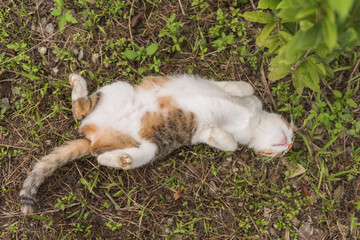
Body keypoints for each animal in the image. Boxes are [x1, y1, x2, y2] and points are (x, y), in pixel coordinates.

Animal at [19, 73, 294, 214]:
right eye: (291, 131)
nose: (290, 145)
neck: (252, 120)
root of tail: (93, 138)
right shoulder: (228, 92)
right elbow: (243, 87)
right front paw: (240, 90)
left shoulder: (202, 132)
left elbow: (228, 142)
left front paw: (223, 137)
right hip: (119, 90)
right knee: (79, 110)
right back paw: (78, 84)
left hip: (151, 147)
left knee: (104, 152)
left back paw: (120, 158)